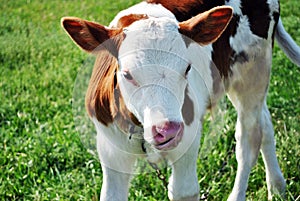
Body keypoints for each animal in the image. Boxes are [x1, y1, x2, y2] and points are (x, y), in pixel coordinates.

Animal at [61, 0, 300, 200]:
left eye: (187, 68)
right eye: (127, 74)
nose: (167, 130)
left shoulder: (187, 141)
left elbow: (183, 190)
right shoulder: (110, 152)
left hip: (254, 74)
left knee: (248, 140)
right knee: (265, 124)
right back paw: (277, 187)